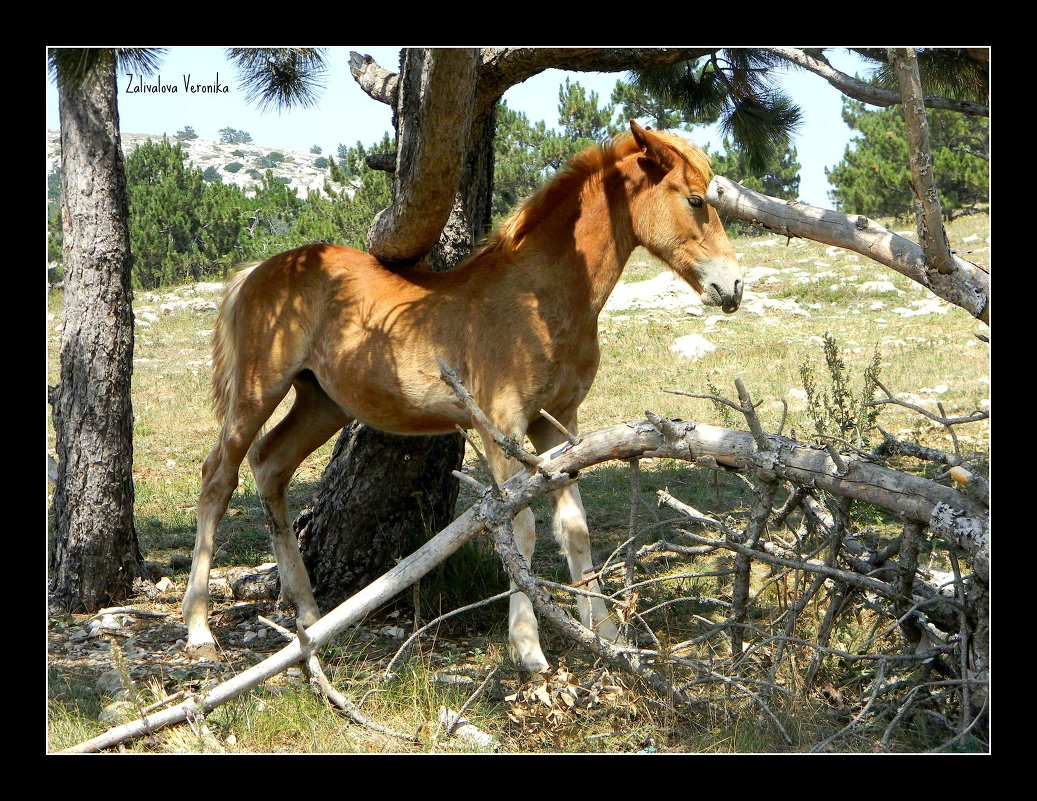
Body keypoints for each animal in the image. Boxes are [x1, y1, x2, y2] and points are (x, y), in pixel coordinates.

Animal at [182, 118, 742, 668]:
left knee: (270, 465)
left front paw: (603, 632)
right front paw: (528, 647)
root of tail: (258, 271)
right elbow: (519, 526)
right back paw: (199, 629)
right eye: (695, 199)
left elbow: (574, 528)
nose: (733, 287)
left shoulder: (559, 424)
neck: (538, 300)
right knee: (218, 478)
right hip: (258, 390)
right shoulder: (501, 426)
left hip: (323, 404)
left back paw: (308, 615)